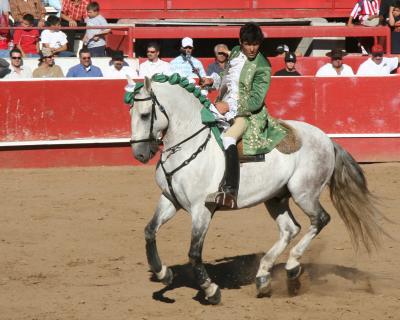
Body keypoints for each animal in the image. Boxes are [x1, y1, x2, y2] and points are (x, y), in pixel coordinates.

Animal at [127, 76, 384, 304]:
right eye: (130, 113)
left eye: (145, 114)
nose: (139, 154)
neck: (190, 145)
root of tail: (327, 140)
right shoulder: (170, 200)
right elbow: (149, 231)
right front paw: (164, 273)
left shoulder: (202, 209)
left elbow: (194, 253)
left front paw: (211, 291)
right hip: (275, 198)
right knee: (290, 229)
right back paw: (263, 277)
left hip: (304, 193)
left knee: (319, 219)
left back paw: (292, 266)